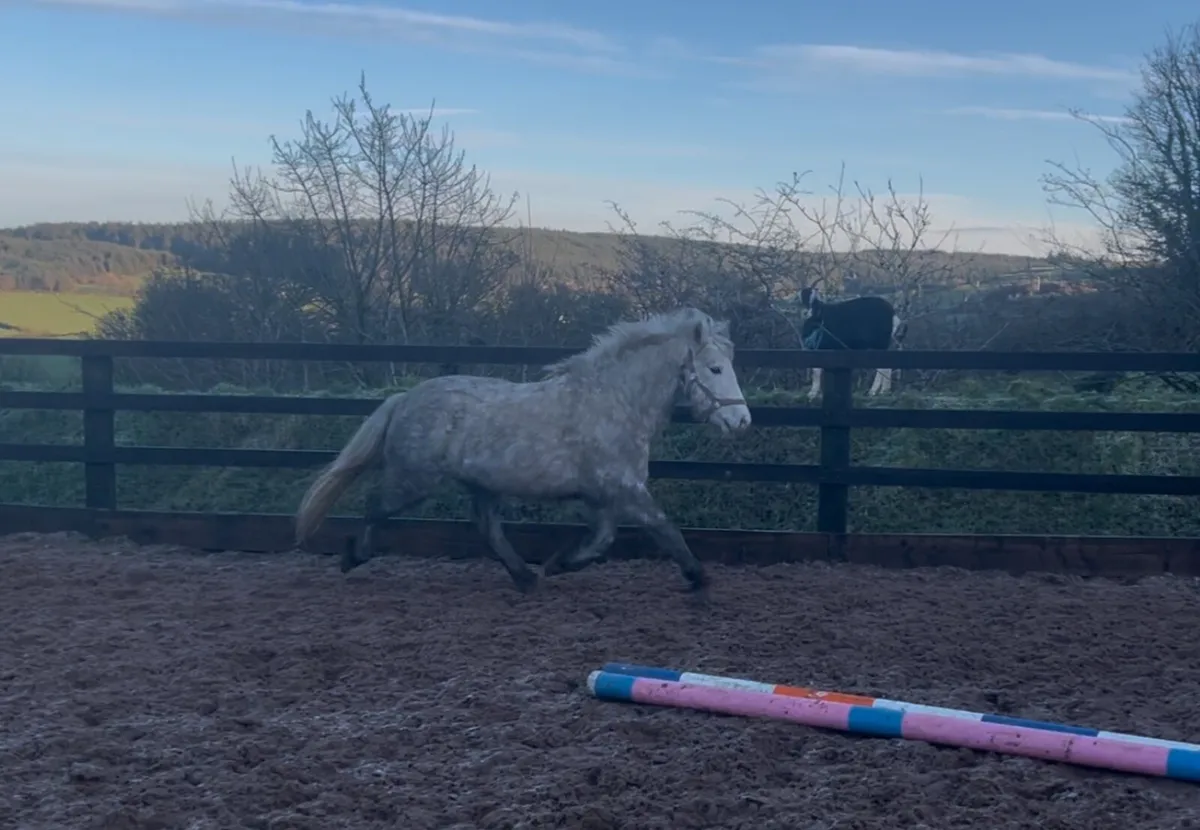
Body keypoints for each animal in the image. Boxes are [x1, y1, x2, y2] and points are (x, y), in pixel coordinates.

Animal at [293, 307, 753, 593]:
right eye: (715, 368)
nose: (742, 421)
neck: (614, 402)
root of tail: (404, 399)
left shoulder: (606, 496)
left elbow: (604, 540)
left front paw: (558, 564)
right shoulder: (625, 490)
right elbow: (664, 528)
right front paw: (698, 577)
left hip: (480, 485)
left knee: (487, 528)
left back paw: (525, 578)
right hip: (414, 480)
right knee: (375, 506)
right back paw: (353, 556)